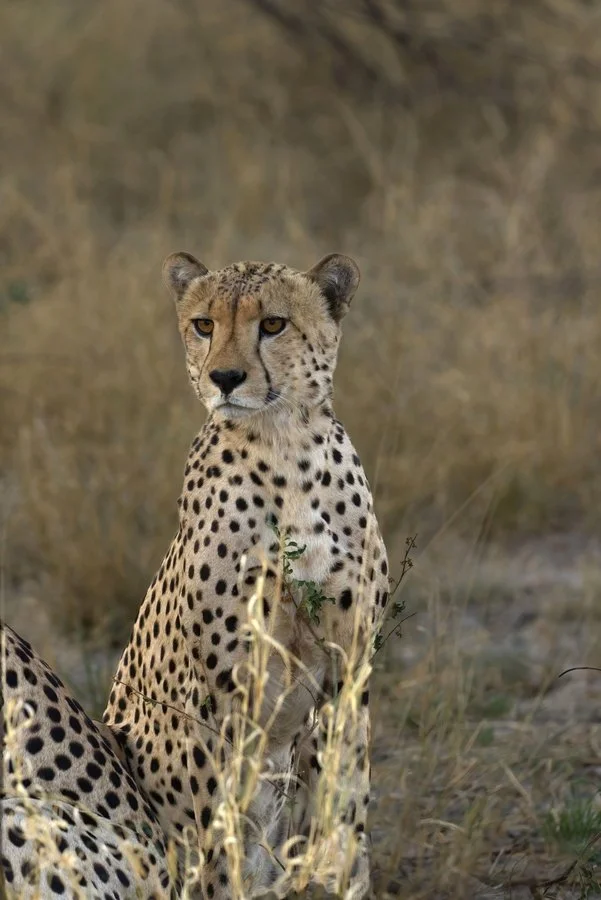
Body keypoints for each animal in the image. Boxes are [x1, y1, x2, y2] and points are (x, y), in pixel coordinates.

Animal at [1, 250, 389, 899]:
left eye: (274, 324)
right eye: (204, 325)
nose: (225, 378)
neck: (285, 448)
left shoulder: (349, 667)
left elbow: (346, 802)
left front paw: (343, 878)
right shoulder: (223, 690)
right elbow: (223, 822)